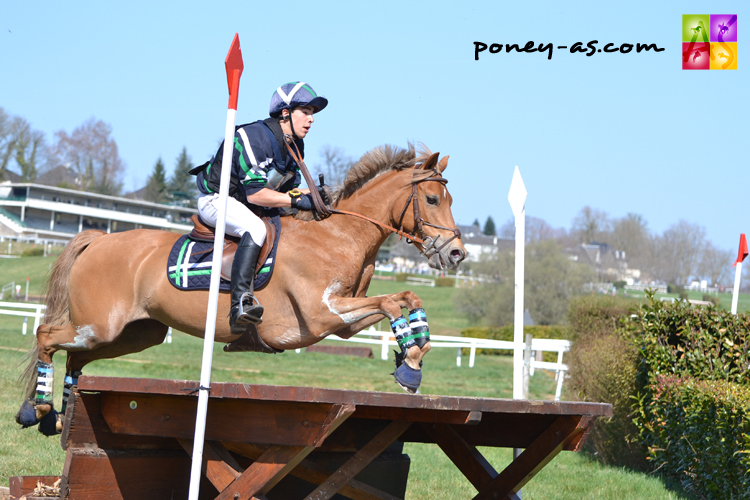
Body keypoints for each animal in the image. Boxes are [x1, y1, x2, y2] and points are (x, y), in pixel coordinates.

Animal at [17, 145, 464, 434]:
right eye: (431, 199)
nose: (456, 252)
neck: (340, 234)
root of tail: (98, 239)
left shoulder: (343, 322)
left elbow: (405, 300)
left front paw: (412, 357)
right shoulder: (321, 315)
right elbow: (392, 302)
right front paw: (409, 363)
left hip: (134, 334)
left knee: (76, 360)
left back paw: (58, 414)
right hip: (98, 326)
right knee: (46, 336)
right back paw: (37, 408)